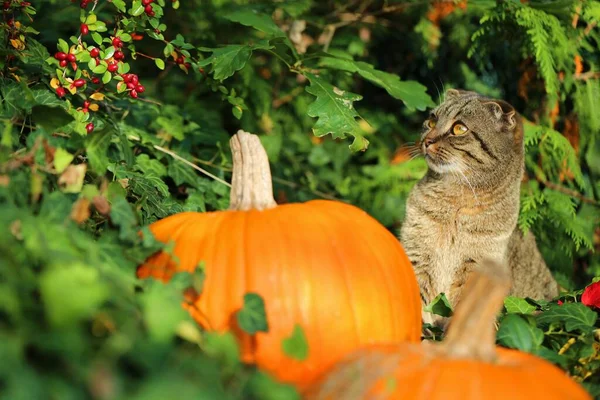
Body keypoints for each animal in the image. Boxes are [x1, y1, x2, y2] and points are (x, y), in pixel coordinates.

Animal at [400, 88, 560, 324]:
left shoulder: (477, 269)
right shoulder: (417, 255)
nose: (427, 140)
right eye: (431, 121)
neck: (455, 206)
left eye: (459, 128)